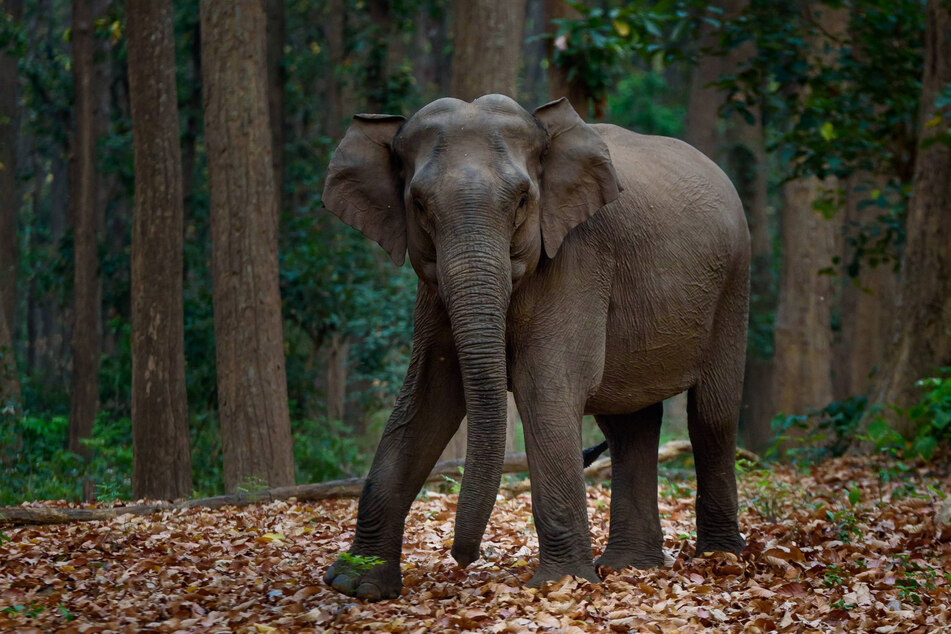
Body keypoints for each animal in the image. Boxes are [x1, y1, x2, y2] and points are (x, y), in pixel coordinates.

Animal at [320, 92, 752, 596]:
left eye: (523, 199)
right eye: (419, 204)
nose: (463, 557)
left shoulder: (578, 255)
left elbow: (544, 387)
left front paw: (561, 585)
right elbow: (429, 396)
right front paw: (355, 584)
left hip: (733, 284)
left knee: (711, 415)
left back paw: (720, 559)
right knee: (630, 427)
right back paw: (631, 567)